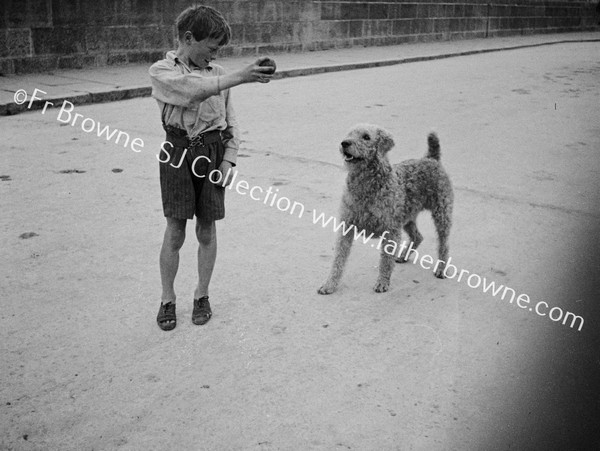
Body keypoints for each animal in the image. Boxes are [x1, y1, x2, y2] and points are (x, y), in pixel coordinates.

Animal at [316, 123, 452, 294]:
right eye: (350, 133)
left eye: (366, 137)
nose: (345, 143)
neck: (365, 185)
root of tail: (431, 159)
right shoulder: (346, 226)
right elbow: (338, 260)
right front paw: (329, 285)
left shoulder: (390, 230)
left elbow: (386, 261)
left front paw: (382, 283)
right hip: (406, 217)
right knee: (418, 236)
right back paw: (402, 256)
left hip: (442, 213)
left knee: (443, 244)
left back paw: (441, 269)